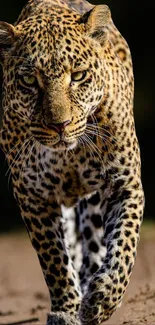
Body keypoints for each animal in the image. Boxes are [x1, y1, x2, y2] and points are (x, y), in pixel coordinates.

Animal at [0, 0, 144, 322]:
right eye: (29, 80)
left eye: (77, 76)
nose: (60, 125)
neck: (70, 155)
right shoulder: (32, 195)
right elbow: (54, 259)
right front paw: (66, 309)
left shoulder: (125, 184)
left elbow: (124, 247)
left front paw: (103, 299)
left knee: (95, 241)